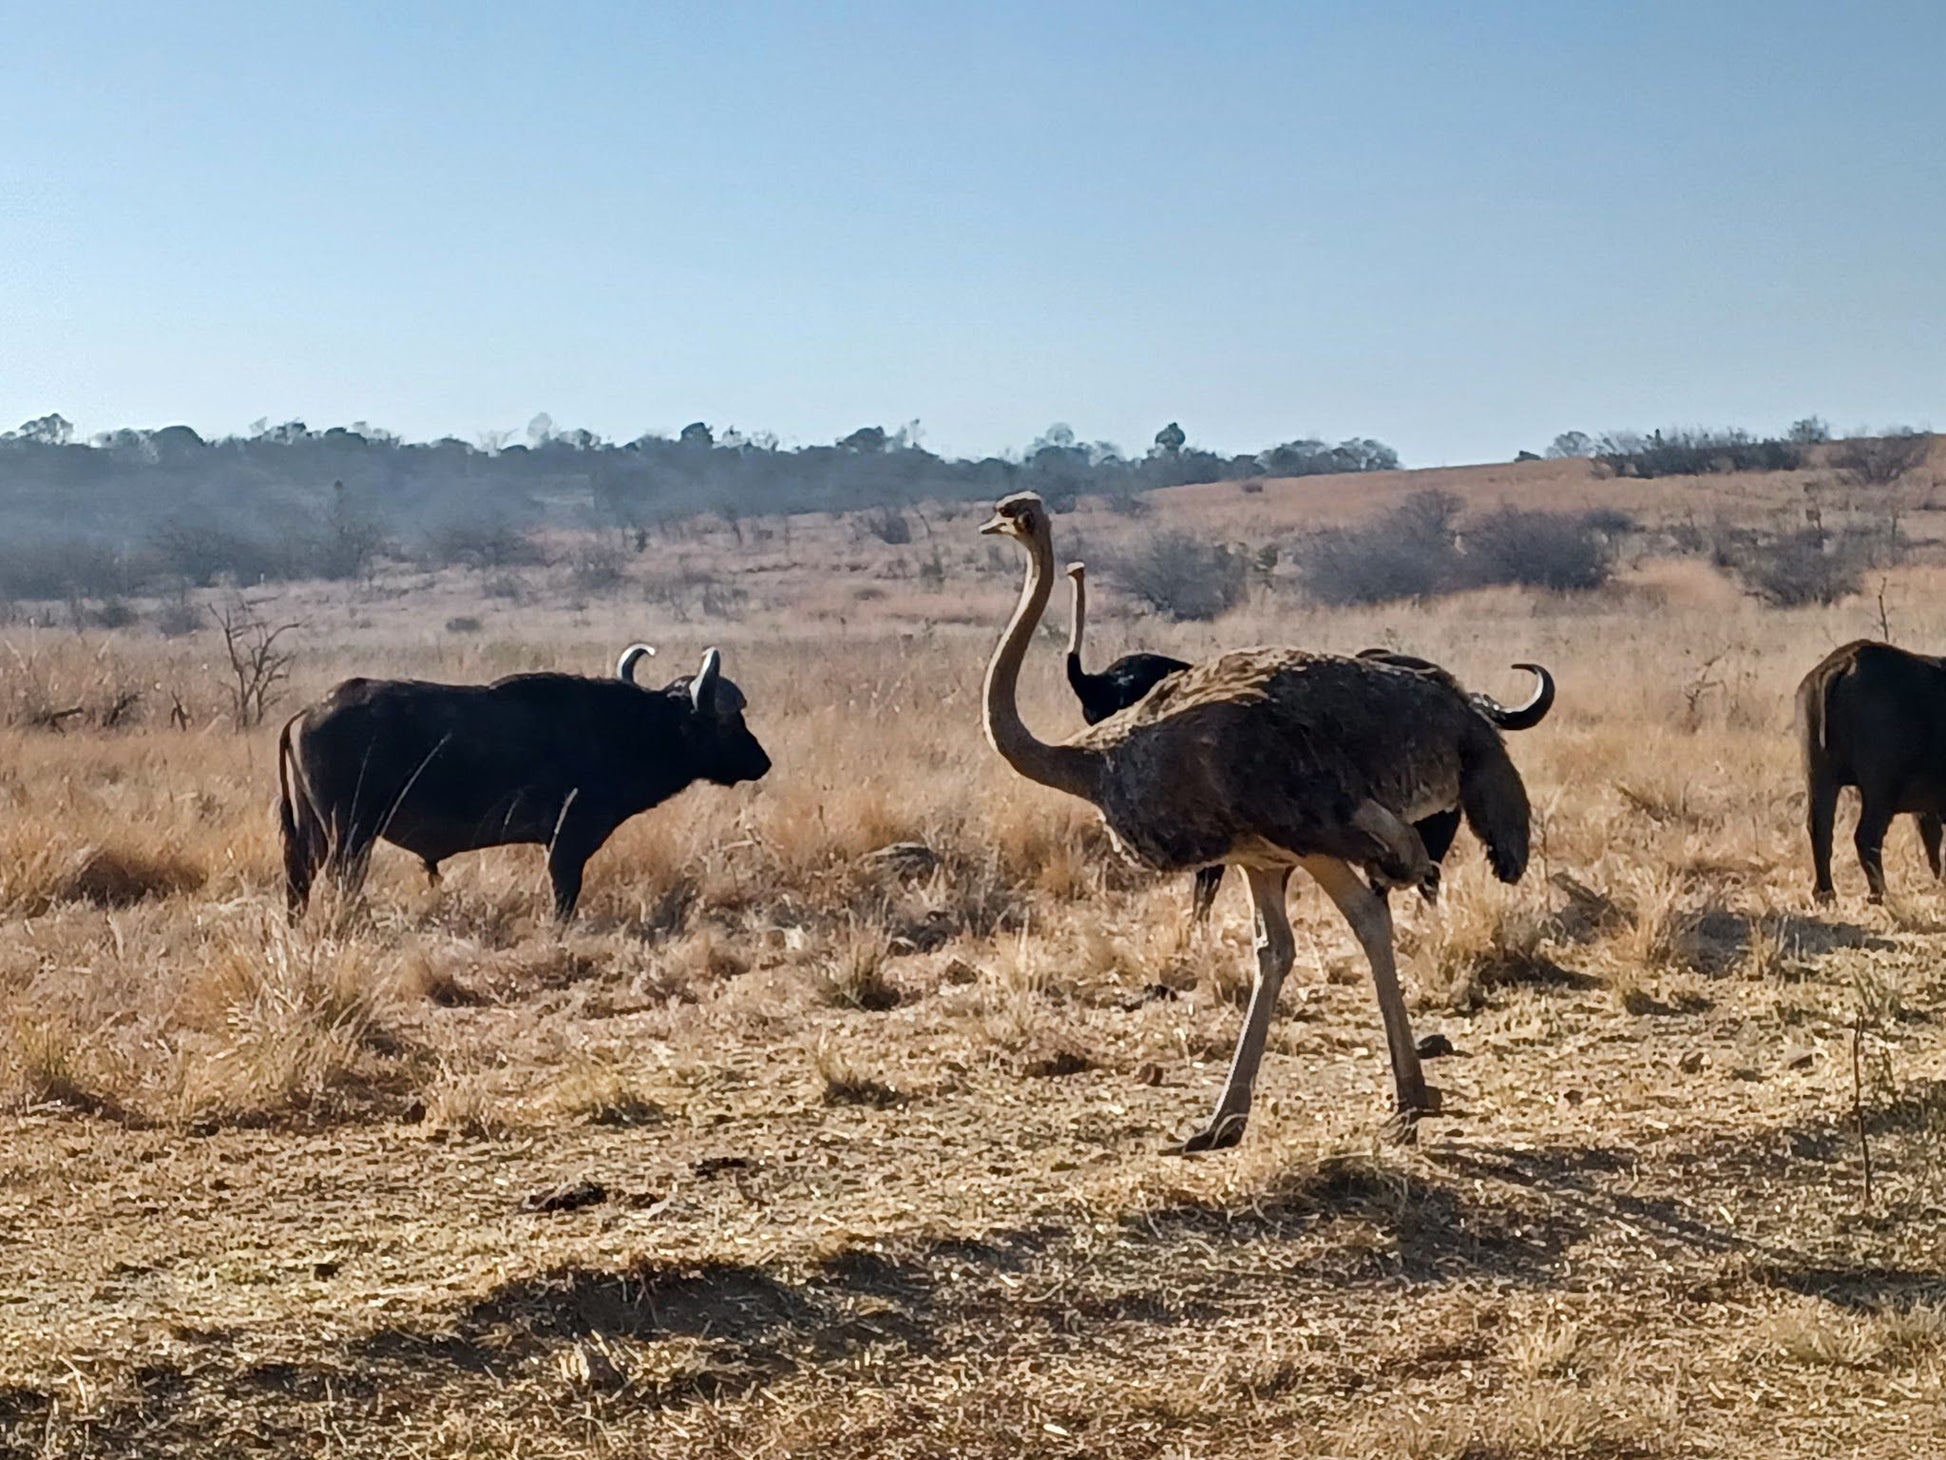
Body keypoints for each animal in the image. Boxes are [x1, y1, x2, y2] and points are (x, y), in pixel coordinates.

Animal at [278, 646, 770, 918]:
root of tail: (308, 711)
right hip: (351, 834)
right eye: (729, 721)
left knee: (300, 878)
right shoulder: (569, 838)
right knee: (342, 880)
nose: (762, 761)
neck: (625, 728)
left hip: (316, 832)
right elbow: (565, 890)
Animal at [1790, 638, 1946, 903]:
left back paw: (1824, 893)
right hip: (1880, 788)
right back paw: (1879, 893)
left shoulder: (1927, 810)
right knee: (1866, 836)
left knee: (1819, 828)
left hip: (1818, 774)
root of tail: (1845, 662)